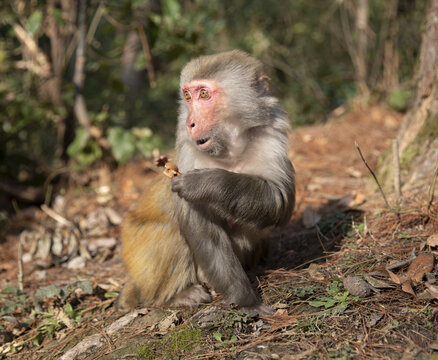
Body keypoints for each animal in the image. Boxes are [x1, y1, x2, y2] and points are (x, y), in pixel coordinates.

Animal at [117, 50, 294, 316]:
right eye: (187, 96)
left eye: (203, 94)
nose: (190, 122)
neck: (230, 150)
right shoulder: (189, 152)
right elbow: (199, 226)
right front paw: (246, 300)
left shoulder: (271, 135)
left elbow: (279, 200)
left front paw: (205, 183)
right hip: (139, 256)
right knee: (171, 231)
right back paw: (175, 295)